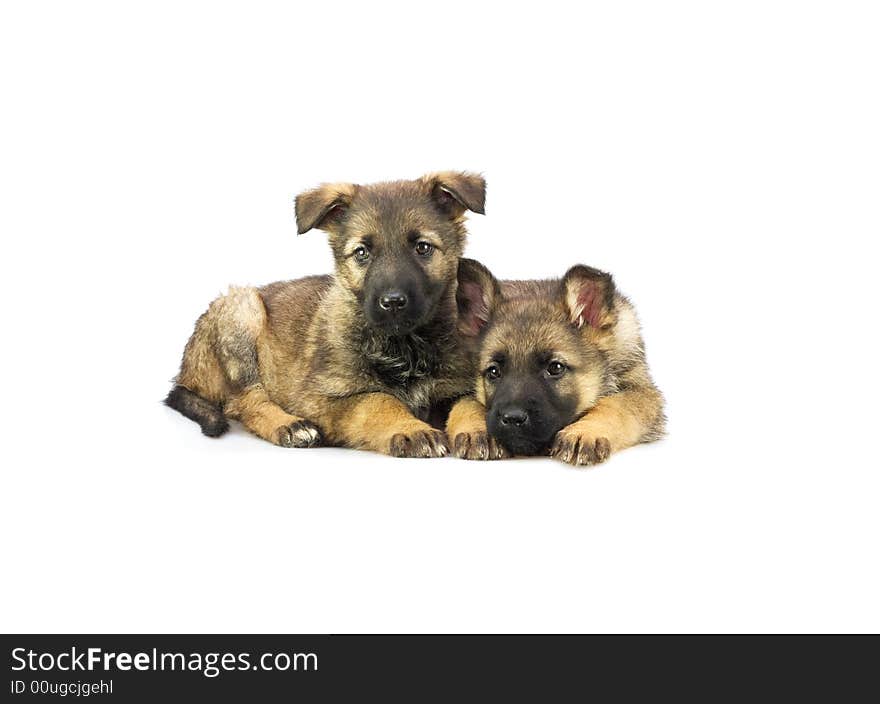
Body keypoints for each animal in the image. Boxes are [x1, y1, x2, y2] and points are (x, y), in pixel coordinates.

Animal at [165, 170, 492, 456]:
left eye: (422, 248)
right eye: (362, 253)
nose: (392, 302)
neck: (405, 346)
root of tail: (185, 372)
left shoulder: (455, 385)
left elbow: (471, 403)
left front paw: (480, 430)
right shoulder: (319, 398)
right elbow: (377, 400)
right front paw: (411, 428)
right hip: (242, 311)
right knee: (244, 400)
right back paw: (289, 426)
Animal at [446, 262, 668, 462]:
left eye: (555, 368)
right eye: (493, 372)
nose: (512, 418)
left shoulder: (643, 391)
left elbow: (617, 405)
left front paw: (584, 431)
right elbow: (465, 403)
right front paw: (476, 429)